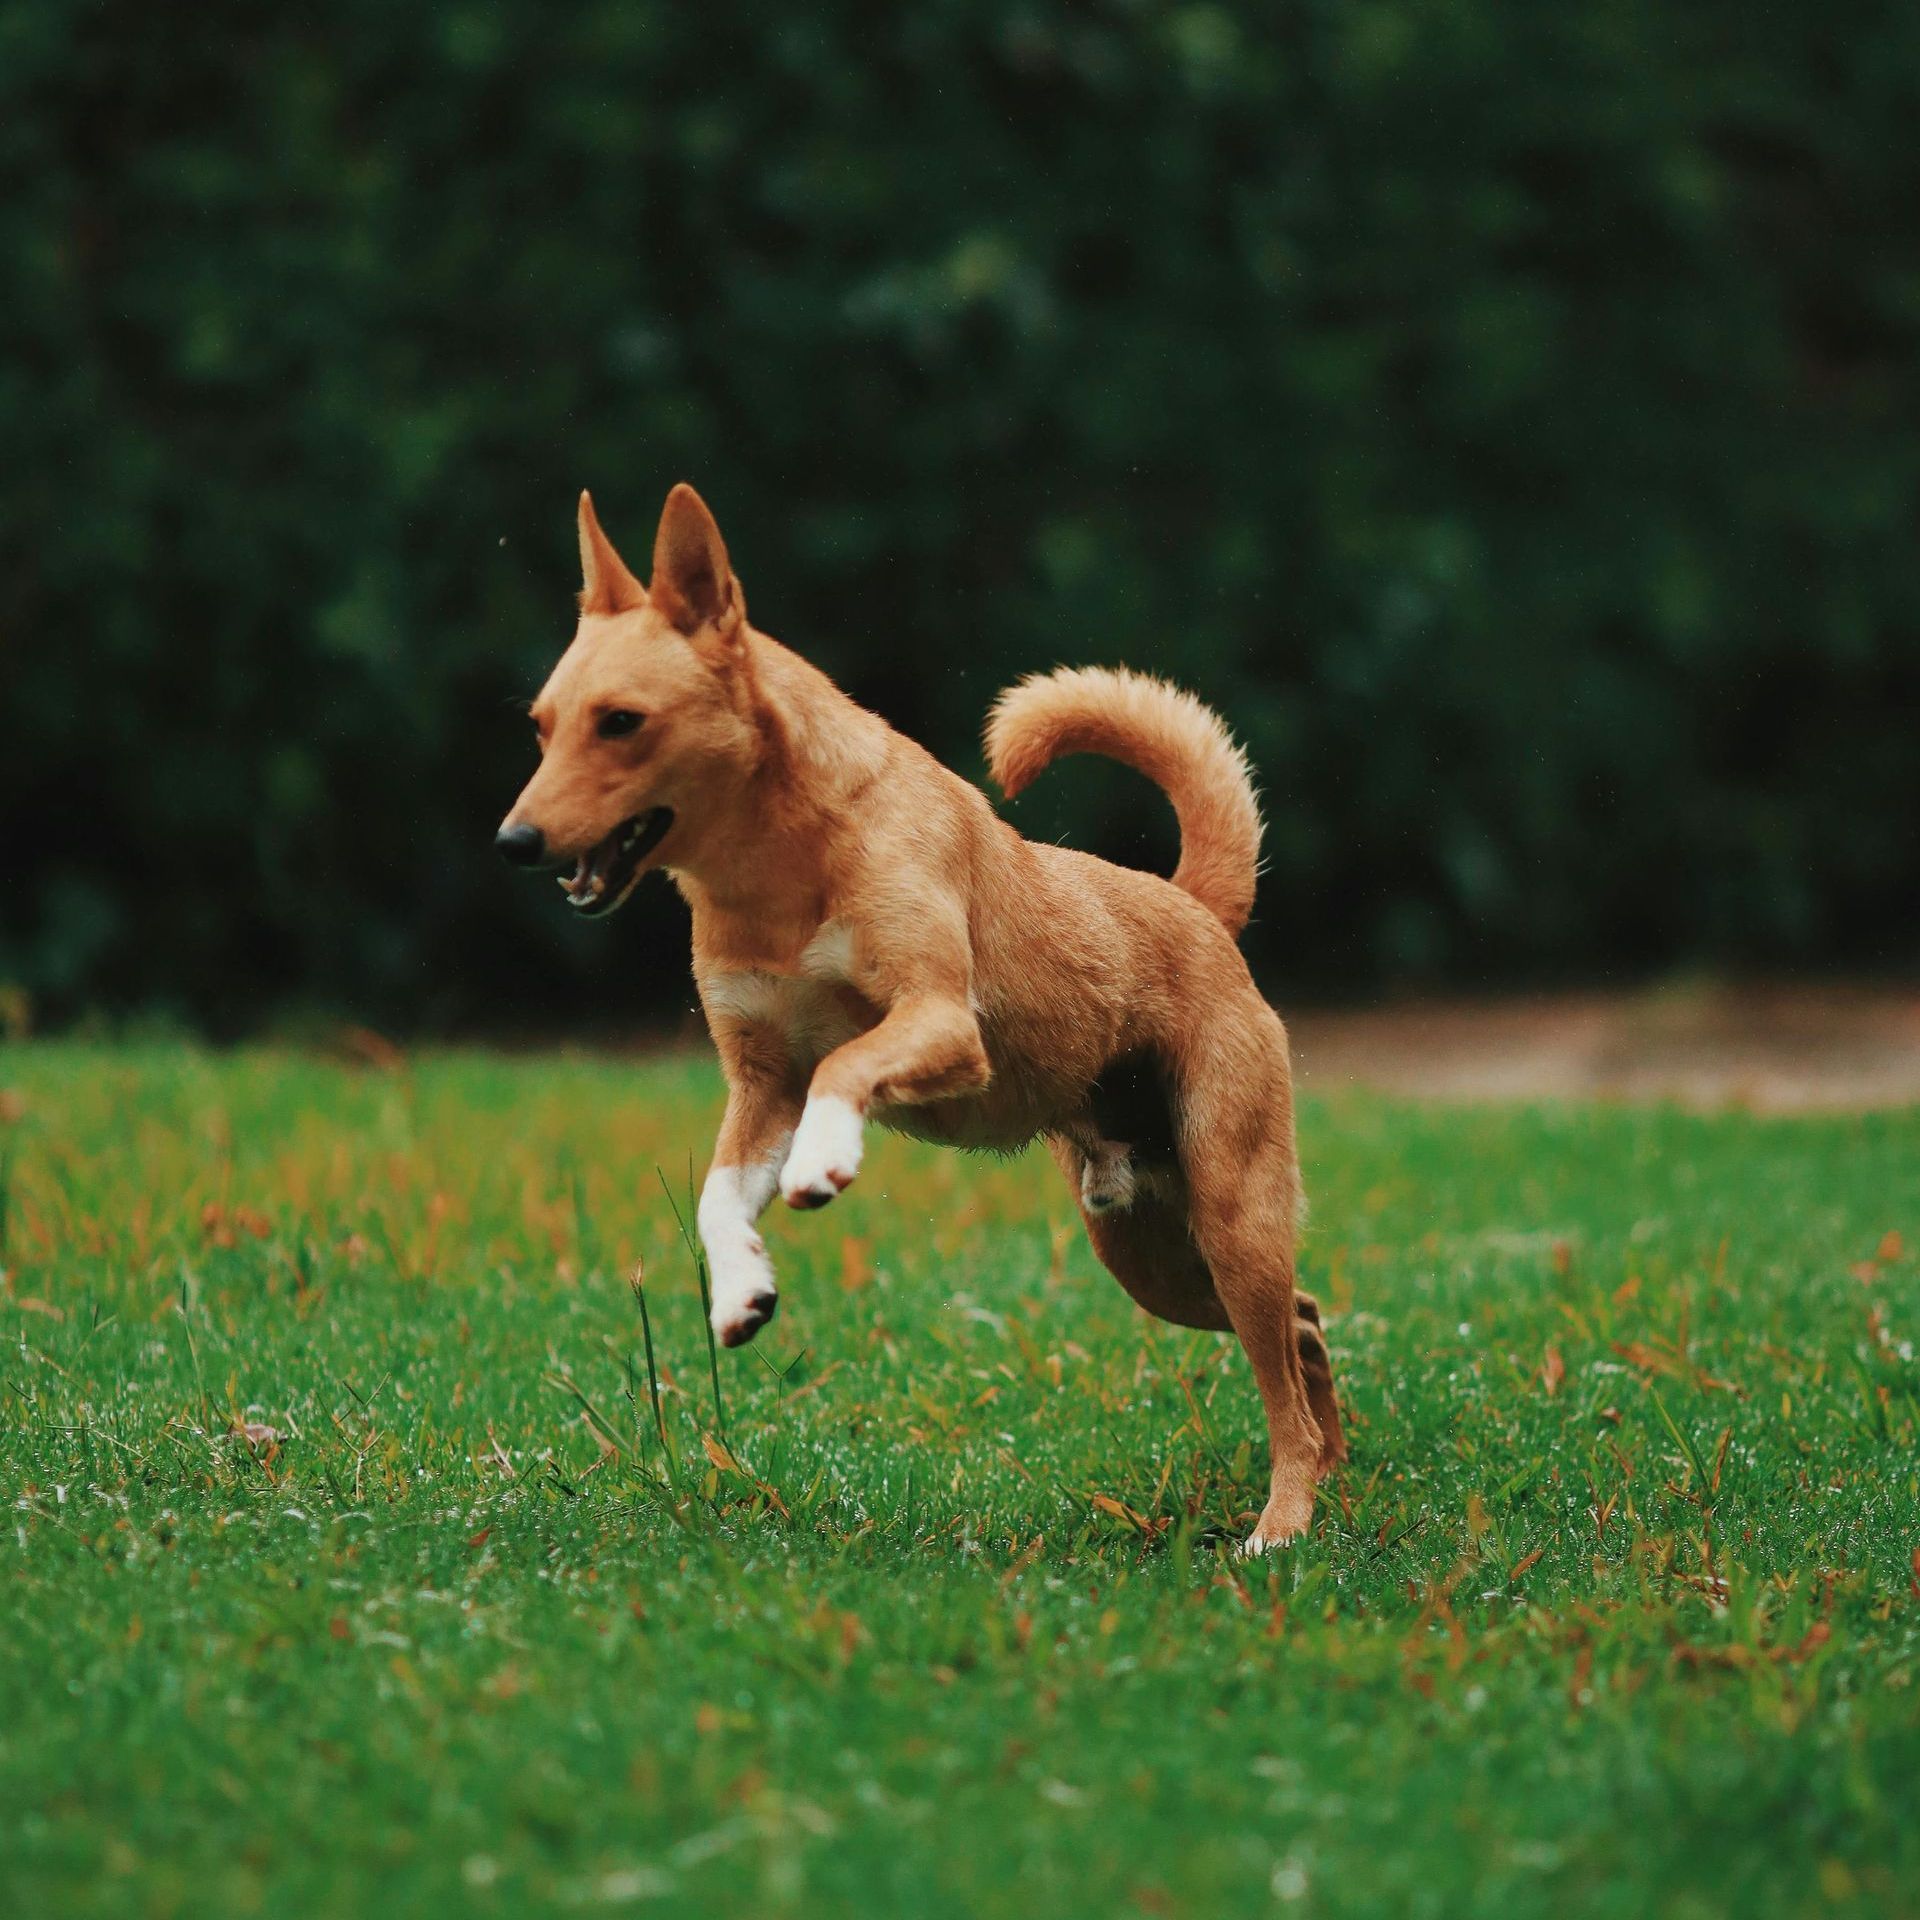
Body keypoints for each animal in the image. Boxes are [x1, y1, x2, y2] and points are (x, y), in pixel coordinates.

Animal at [495, 483, 1351, 1543]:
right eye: (542, 727)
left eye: (621, 722)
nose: (513, 841)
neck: (777, 874)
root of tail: (1192, 905)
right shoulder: (758, 1083)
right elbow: (717, 1193)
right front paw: (741, 1290)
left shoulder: (940, 1022)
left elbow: (845, 1066)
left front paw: (825, 1160)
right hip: (1148, 1254)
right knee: (1304, 1330)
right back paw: (1335, 1476)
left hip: (1231, 1213)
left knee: (1283, 1378)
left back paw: (1283, 1526)